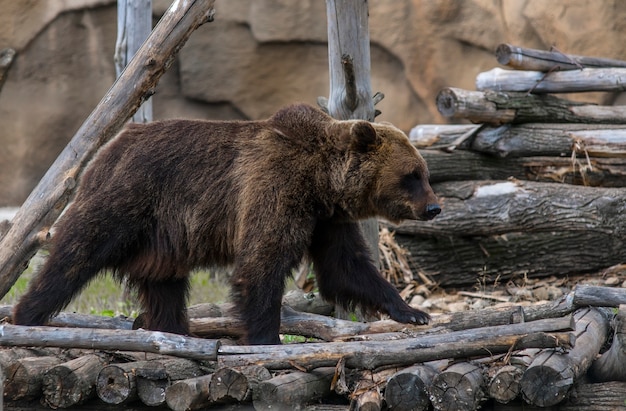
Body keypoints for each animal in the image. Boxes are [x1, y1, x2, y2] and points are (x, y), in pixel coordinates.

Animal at [11, 103, 438, 344]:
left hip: (162, 237)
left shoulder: (326, 220)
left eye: (424, 172)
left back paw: (170, 330)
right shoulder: (275, 189)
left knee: (164, 285)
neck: (320, 181)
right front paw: (266, 338)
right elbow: (262, 264)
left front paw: (412, 311)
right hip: (127, 197)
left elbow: (345, 267)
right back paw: (27, 317)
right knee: (75, 255)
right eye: (412, 175)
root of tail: (110, 144)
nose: (434, 207)